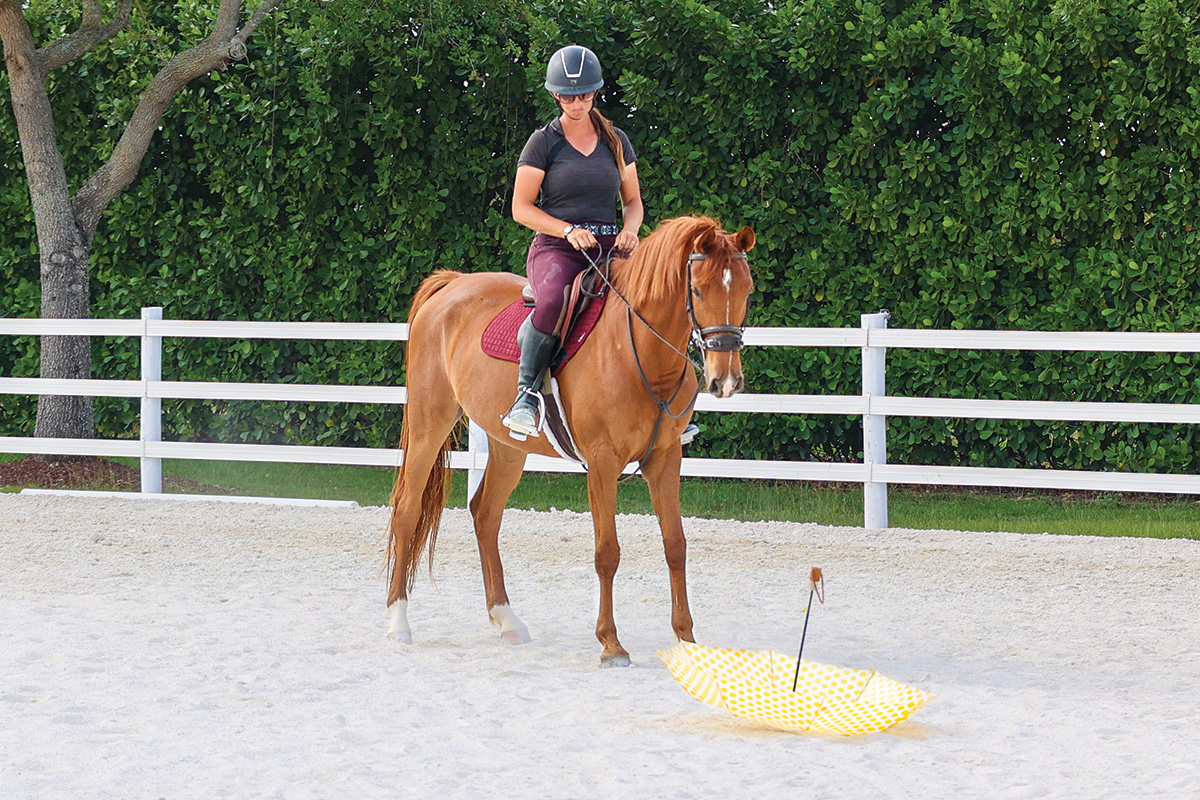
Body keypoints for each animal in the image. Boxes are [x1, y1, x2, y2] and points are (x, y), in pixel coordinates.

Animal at [388, 215, 753, 666]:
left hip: (508, 447)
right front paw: (611, 643)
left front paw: (686, 640)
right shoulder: (602, 463)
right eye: (699, 290)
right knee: (407, 512)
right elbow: (607, 552)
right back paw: (398, 623)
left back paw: (507, 621)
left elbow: (676, 545)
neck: (639, 351)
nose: (725, 379)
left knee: (485, 514)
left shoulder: (666, 459)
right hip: (429, 424)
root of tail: (452, 284)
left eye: (746, 290)